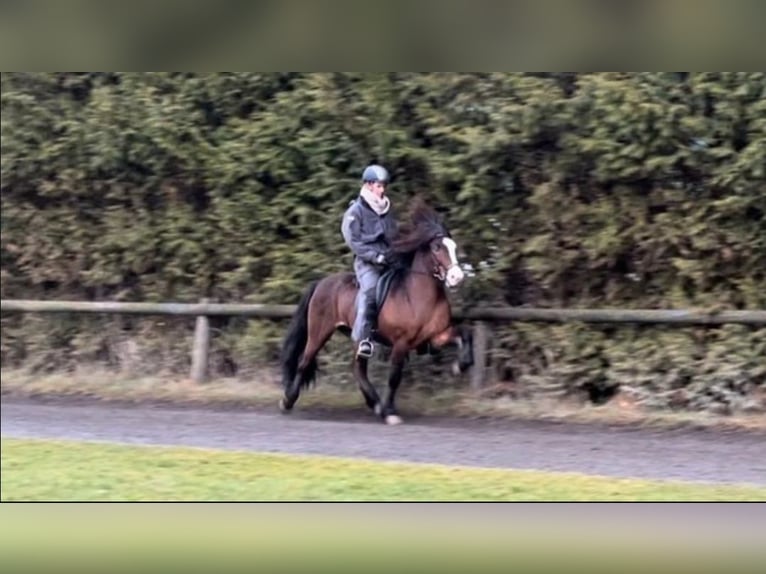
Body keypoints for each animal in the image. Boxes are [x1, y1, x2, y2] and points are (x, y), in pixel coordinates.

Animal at [280, 200, 476, 426]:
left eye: (453, 247)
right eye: (437, 247)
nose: (457, 277)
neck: (419, 294)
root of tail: (321, 283)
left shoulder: (436, 336)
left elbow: (465, 334)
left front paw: (459, 367)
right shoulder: (401, 343)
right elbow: (394, 377)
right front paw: (390, 412)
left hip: (357, 337)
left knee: (358, 369)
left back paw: (375, 404)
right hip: (319, 332)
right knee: (304, 363)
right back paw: (287, 401)